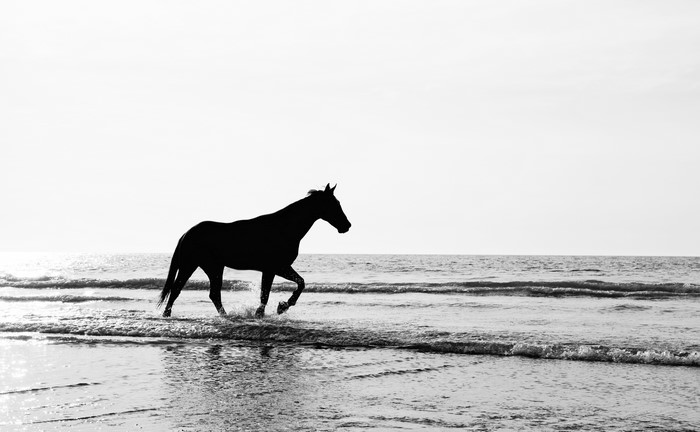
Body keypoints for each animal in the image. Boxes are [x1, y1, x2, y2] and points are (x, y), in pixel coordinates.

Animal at [157, 184, 351, 318]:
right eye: (334, 204)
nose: (347, 226)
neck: (283, 228)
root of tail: (187, 233)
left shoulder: (278, 268)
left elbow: (298, 283)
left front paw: (281, 307)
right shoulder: (274, 268)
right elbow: (269, 293)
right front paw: (273, 309)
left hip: (204, 267)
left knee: (198, 292)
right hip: (200, 266)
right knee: (186, 291)